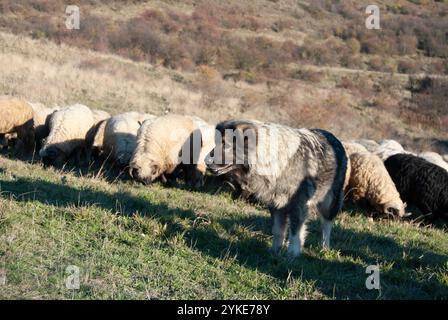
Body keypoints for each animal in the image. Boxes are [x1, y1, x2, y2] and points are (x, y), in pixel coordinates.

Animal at [205, 120, 348, 258]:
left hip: (329, 202)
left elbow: (295, 232)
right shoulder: (276, 205)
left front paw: (292, 254)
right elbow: (278, 230)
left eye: (226, 144)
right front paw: (275, 251)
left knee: (326, 225)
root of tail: (333, 137)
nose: (206, 161)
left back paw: (324, 248)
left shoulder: (298, 205)